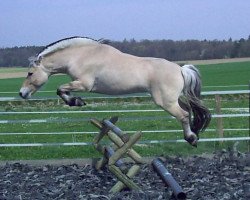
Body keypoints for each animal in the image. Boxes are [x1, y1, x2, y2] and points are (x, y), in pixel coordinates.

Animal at [19, 36, 211, 147]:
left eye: (30, 73)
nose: (22, 93)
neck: (80, 56)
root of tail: (180, 69)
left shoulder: (84, 84)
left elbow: (60, 90)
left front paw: (76, 101)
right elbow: (61, 91)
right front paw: (77, 101)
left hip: (166, 102)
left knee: (183, 115)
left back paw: (191, 138)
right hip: (176, 98)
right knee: (189, 111)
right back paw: (194, 134)